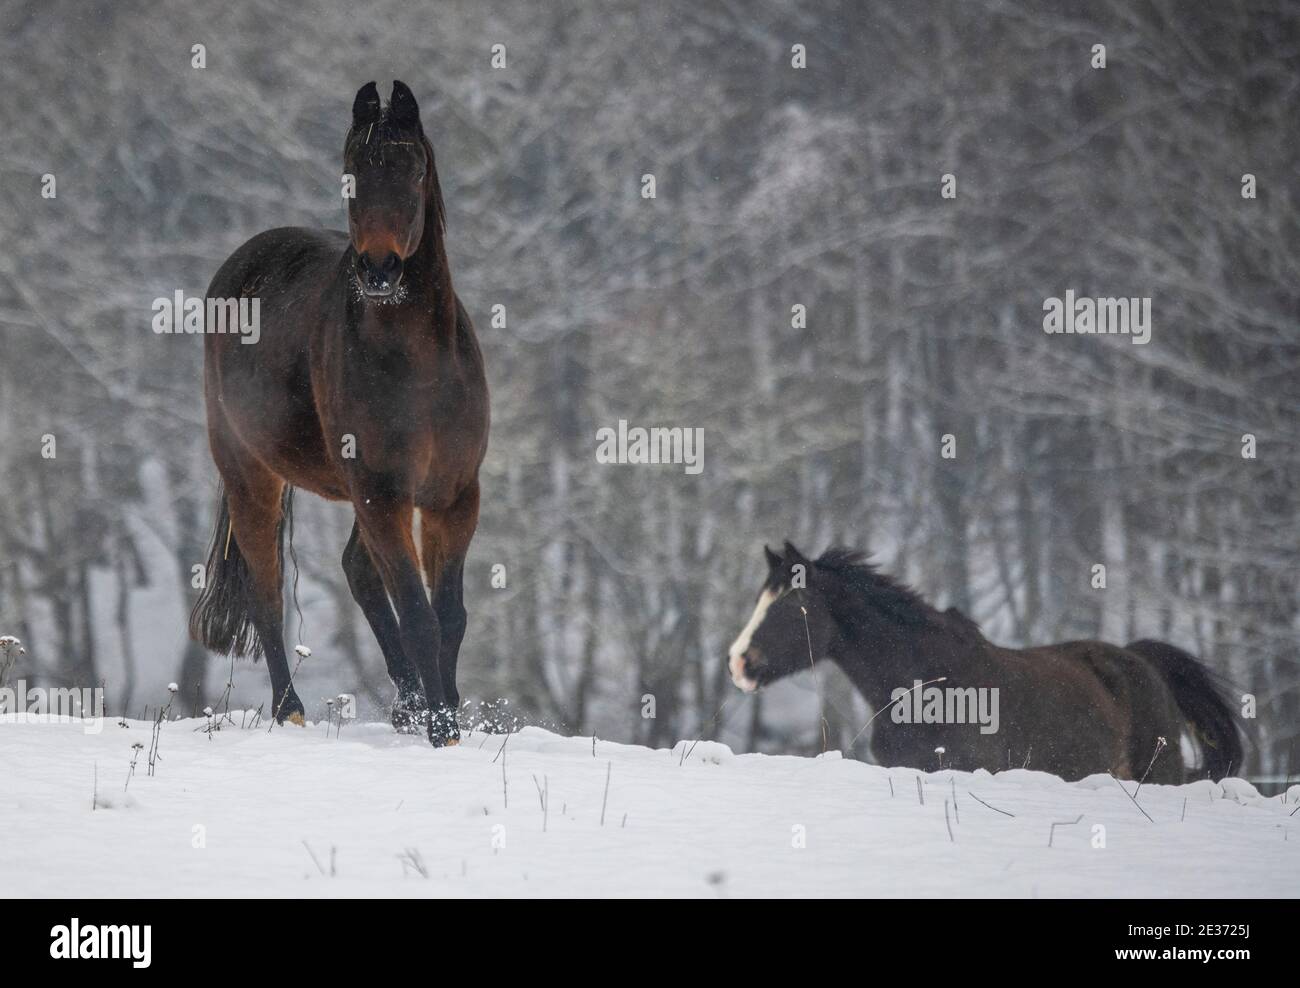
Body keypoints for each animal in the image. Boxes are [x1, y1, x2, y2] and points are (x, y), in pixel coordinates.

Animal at [189, 81, 488, 746]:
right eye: (351, 171)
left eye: (414, 168)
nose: (379, 270)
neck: (418, 363)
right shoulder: (382, 493)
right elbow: (420, 617)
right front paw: (439, 729)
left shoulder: (452, 496)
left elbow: (450, 617)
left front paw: (447, 716)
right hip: (252, 475)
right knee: (267, 591)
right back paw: (290, 709)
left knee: (357, 571)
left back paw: (406, 706)